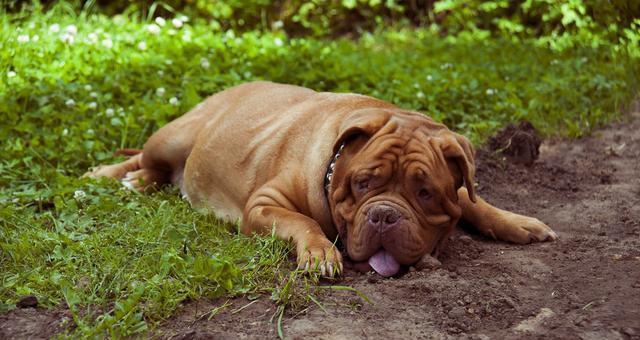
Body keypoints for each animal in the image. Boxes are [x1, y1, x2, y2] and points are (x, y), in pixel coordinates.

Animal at [87, 81, 556, 276]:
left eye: (425, 193)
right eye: (363, 184)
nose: (384, 215)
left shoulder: (461, 190)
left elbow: (475, 203)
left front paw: (518, 223)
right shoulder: (263, 205)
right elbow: (303, 221)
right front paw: (319, 254)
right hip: (174, 136)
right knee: (143, 159)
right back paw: (109, 175)